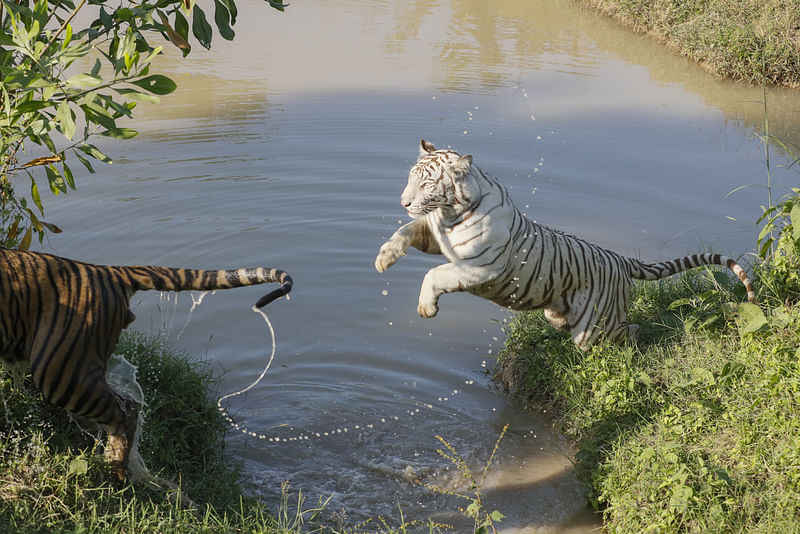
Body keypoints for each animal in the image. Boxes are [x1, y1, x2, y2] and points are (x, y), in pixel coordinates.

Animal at [376, 140, 756, 354]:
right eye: (411, 177)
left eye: (426, 184)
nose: (404, 201)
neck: (452, 212)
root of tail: (619, 259)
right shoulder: (434, 233)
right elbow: (406, 230)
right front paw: (384, 258)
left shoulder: (479, 267)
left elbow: (435, 274)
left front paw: (427, 308)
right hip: (559, 313)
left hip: (595, 329)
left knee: (628, 332)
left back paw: (640, 343)